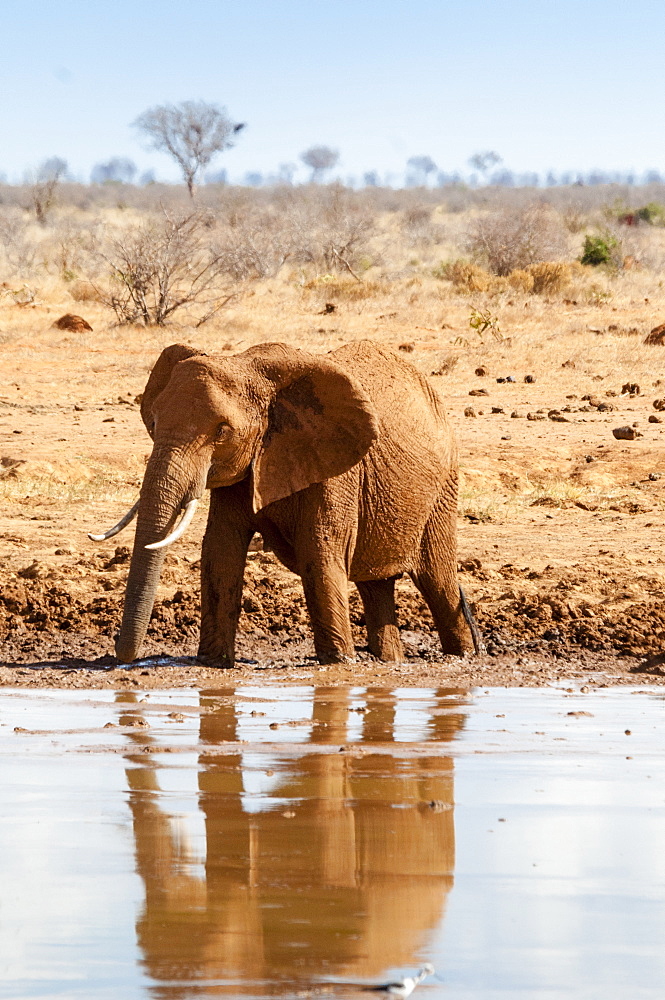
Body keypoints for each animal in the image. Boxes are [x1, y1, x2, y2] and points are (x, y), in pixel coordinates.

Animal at [91, 340, 480, 668]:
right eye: (154, 422)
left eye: (222, 432)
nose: (119, 656)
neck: (248, 367)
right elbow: (220, 550)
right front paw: (213, 662)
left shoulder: (335, 470)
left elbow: (319, 552)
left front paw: (338, 664)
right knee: (377, 586)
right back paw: (390, 662)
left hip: (443, 488)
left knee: (438, 581)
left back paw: (462, 657)